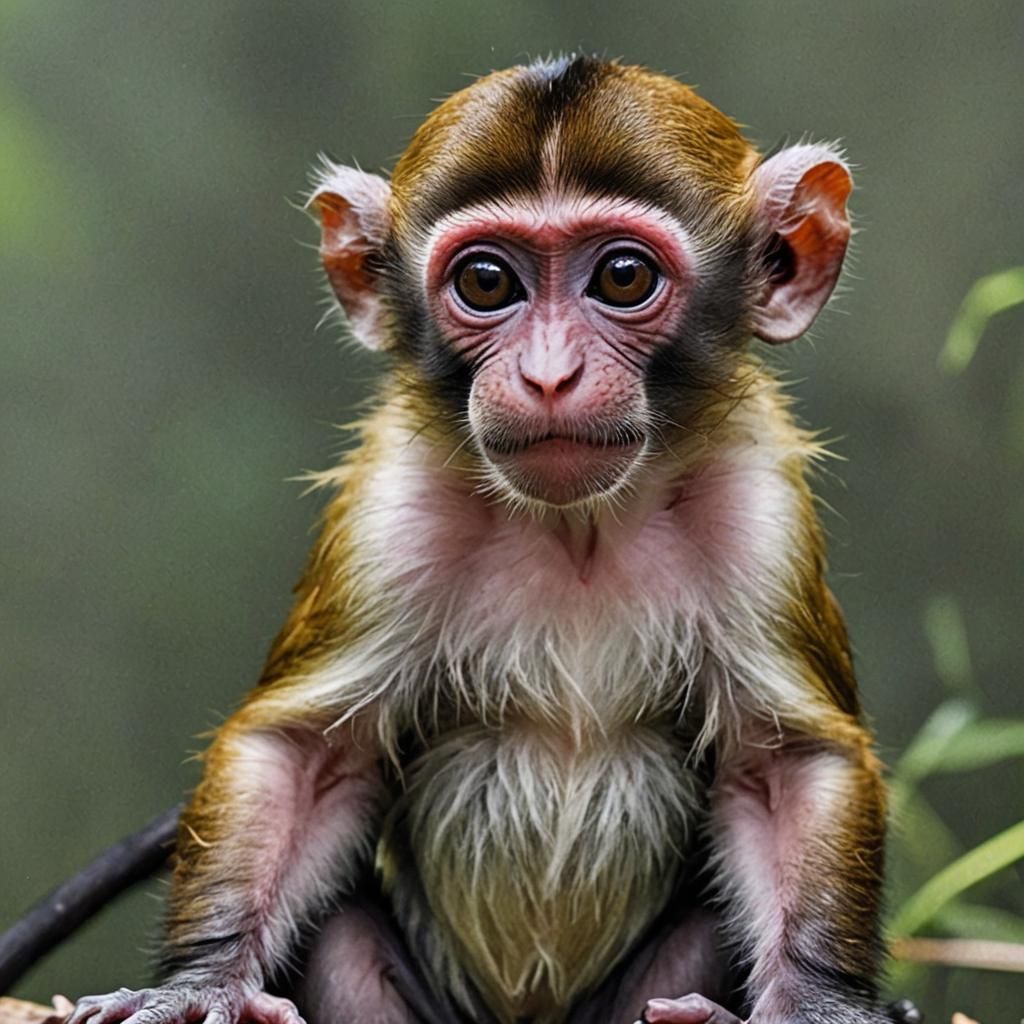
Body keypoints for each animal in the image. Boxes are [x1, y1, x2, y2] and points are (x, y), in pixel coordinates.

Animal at [61, 55, 898, 1024]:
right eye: (488, 283)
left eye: (622, 277)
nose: (548, 375)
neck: (580, 526)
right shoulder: (392, 506)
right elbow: (305, 753)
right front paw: (197, 986)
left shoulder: (757, 507)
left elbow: (787, 765)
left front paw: (815, 1002)